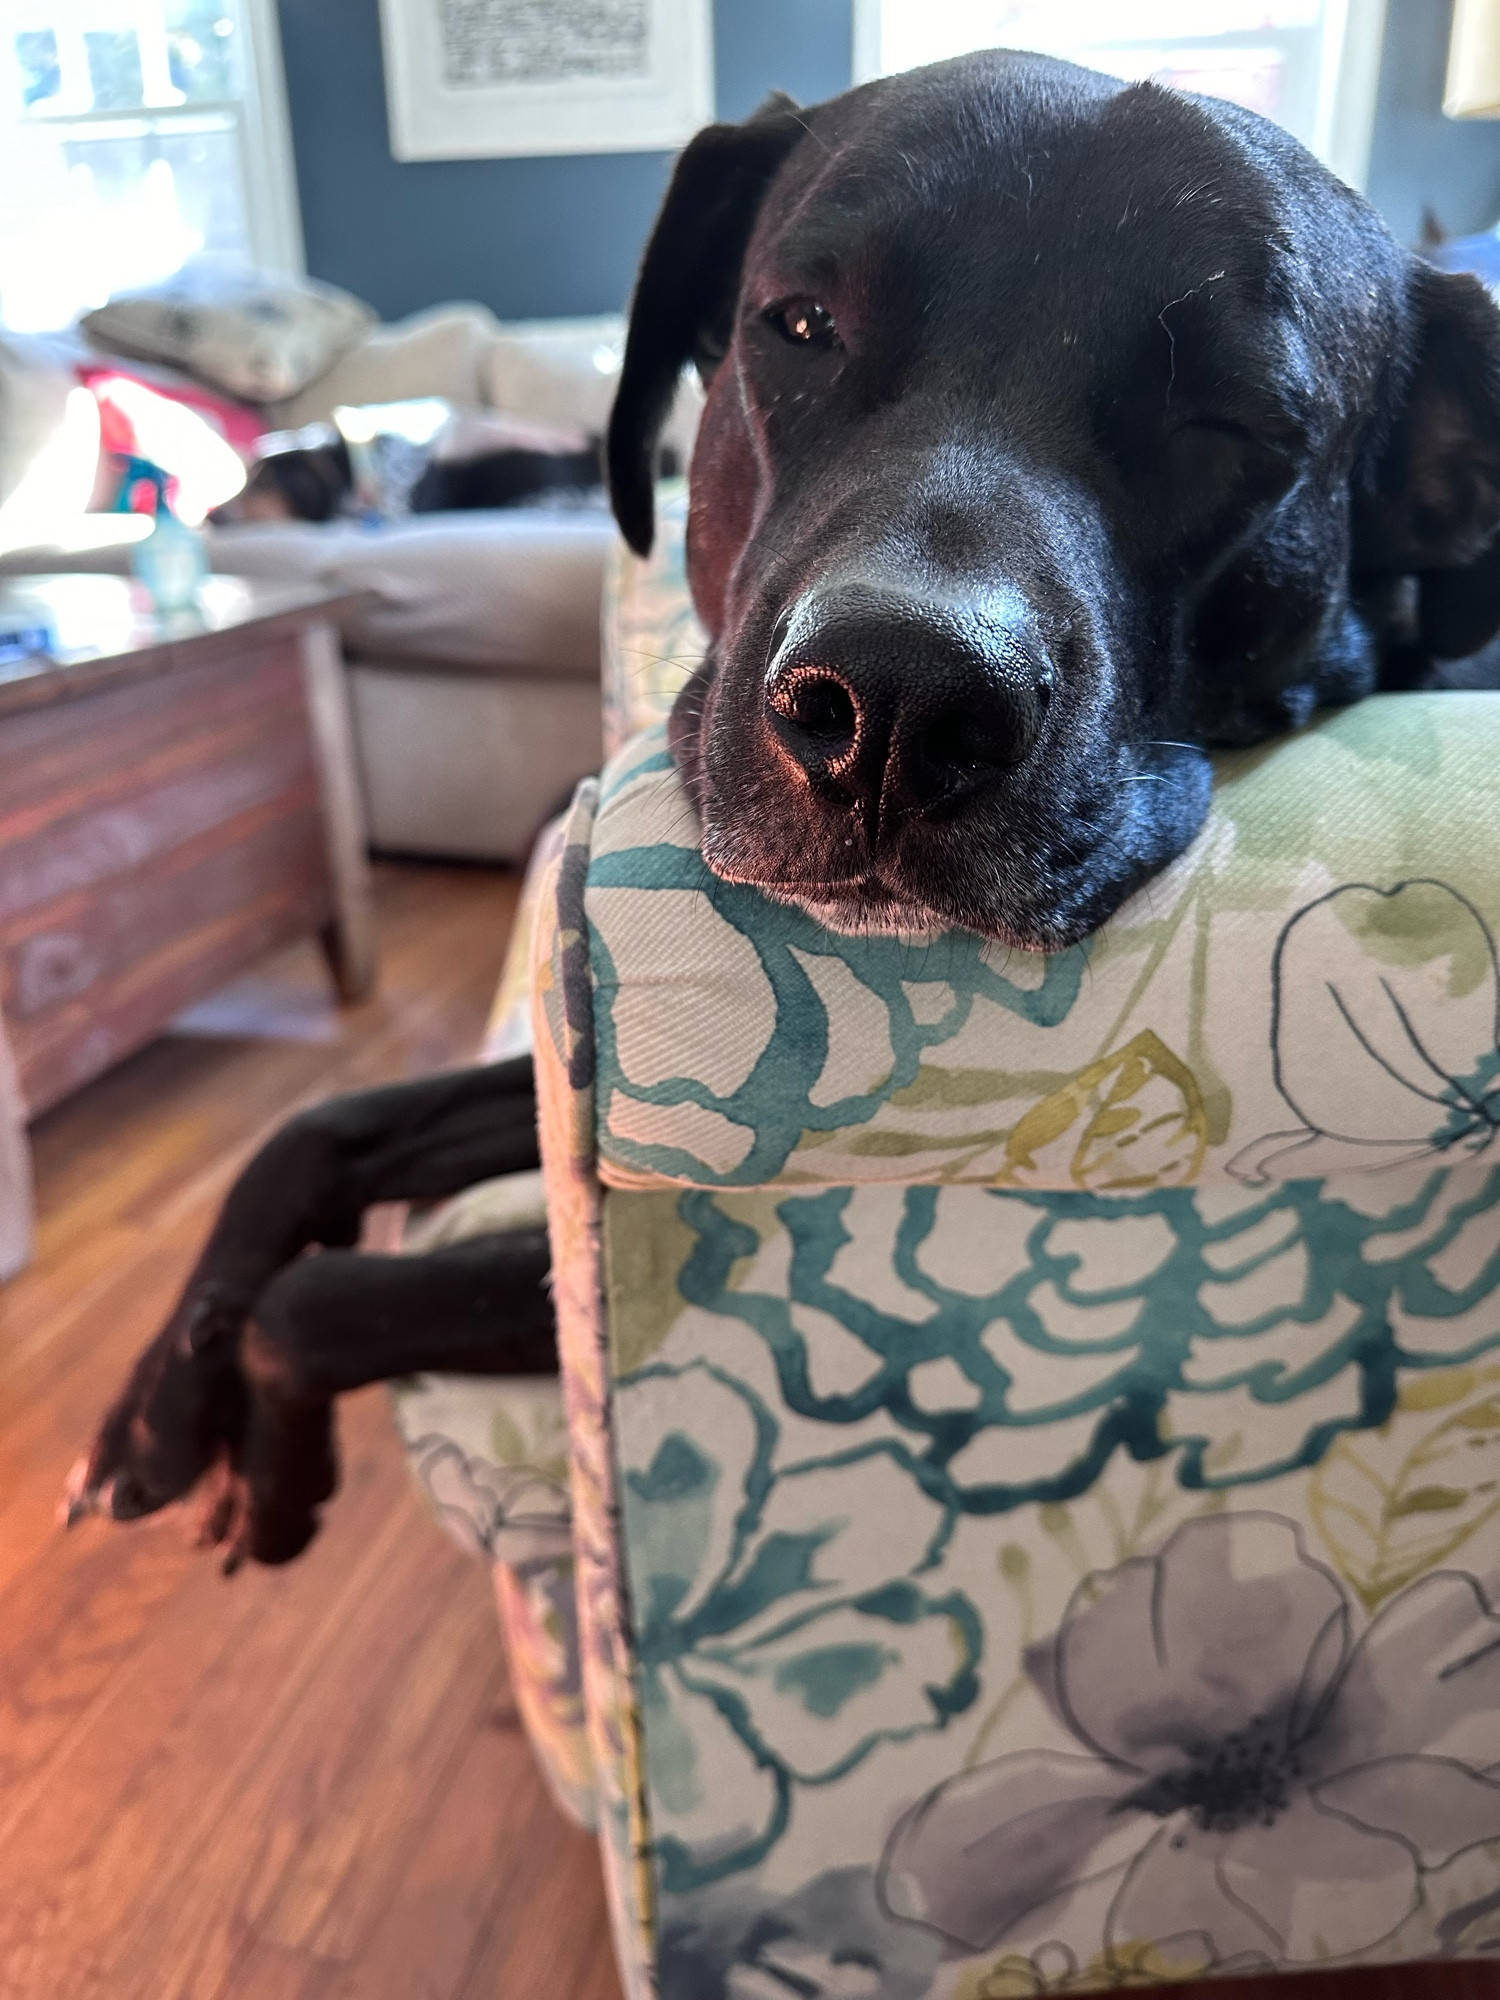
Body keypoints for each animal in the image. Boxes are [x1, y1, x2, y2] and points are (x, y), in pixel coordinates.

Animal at [70, 54, 1500, 1568]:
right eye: (802, 325)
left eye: (1237, 424)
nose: (896, 704)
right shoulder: (574, 1066)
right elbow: (317, 1127)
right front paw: (159, 1403)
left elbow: (321, 1302)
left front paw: (269, 1461)